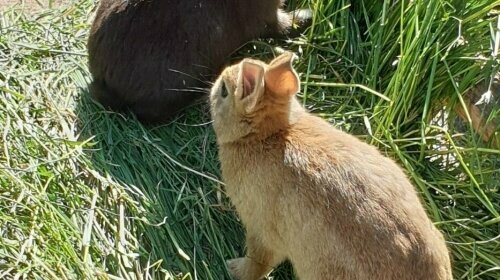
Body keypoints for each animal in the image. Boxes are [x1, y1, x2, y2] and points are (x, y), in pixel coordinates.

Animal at [209, 52, 452, 278]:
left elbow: (258, 261)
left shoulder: (260, 229)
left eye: (224, 91)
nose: (213, 87)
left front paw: (233, 269)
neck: (267, 134)